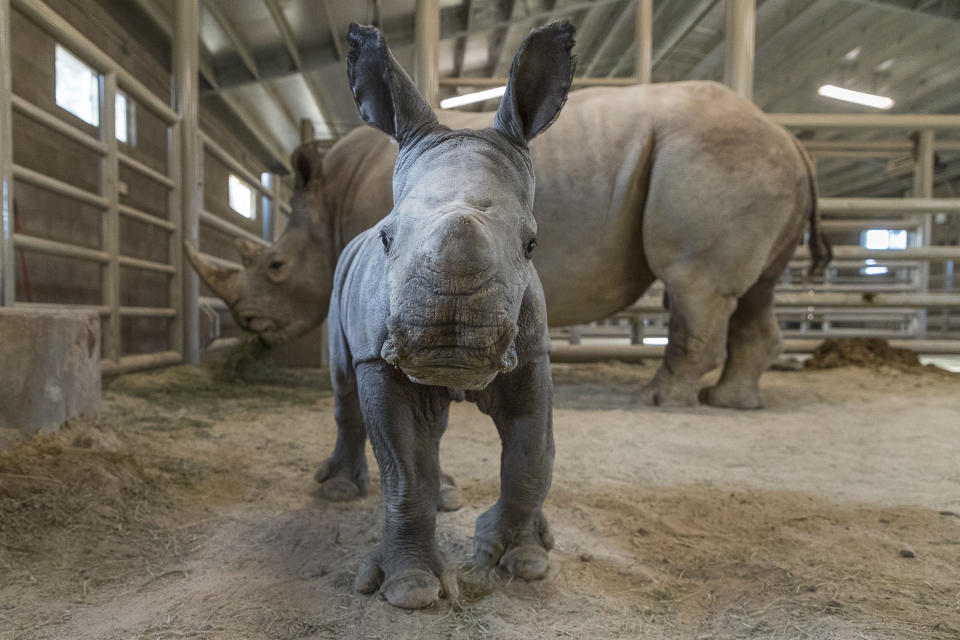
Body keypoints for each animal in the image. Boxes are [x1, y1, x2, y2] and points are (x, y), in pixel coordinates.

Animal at [186, 80, 824, 410]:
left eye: (275, 265)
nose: (247, 323)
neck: (328, 200)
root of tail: (789, 135)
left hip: (717, 156)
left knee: (696, 287)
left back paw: (658, 400)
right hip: (751, 162)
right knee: (756, 292)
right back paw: (730, 402)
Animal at [326, 22, 572, 608]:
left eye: (532, 244)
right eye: (388, 239)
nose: (448, 345)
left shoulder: (533, 354)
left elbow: (530, 456)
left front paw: (521, 560)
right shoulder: (379, 360)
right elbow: (403, 474)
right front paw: (411, 589)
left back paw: (449, 499)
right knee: (343, 385)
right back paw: (341, 492)